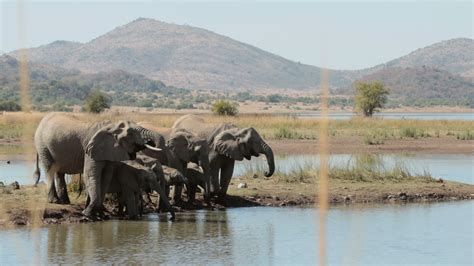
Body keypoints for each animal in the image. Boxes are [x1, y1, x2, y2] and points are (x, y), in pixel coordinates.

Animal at [32, 112, 163, 218]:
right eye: (131, 133)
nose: (150, 142)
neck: (110, 126)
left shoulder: (110, 152)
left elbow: (106, 177)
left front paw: (98, 213)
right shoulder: (90, 149)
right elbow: (91, 175)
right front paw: (87, 213)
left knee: (59, 172)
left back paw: (65, 202)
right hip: (42, 144)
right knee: (49, 168)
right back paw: (55, 201)